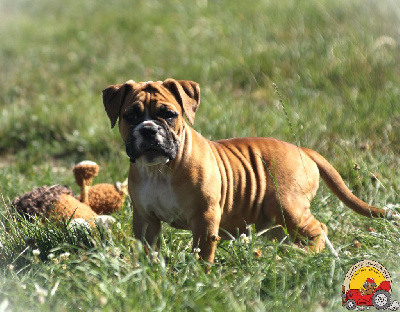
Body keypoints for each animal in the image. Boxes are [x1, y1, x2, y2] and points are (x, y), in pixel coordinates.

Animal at [102, 78, 394, 264]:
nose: (149, 130)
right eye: (130, 116)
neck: (160, 170)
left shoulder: (205, 217)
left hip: (288, 207)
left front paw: (199, 275)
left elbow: (203, 251)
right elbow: (147, 250)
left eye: (169, 114)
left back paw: (309, 255)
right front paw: (146, 273)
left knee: (319, 229)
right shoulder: (145, 219)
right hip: (277, 220)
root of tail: (304, 150)